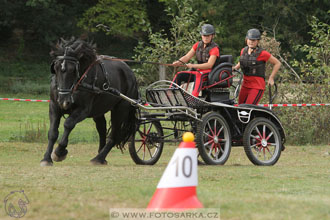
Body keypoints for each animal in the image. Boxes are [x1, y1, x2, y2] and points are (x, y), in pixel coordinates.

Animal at [41, 37, 138, 166]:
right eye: (56, 68)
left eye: (73, 70)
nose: (64, 101)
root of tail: (130, 73)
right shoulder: (54, 106)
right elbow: (52, 133)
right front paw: (46, 158)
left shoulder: (83, 110)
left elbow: (68, 124)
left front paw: (59, 152)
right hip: (98, 110)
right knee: (102, 129)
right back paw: (100, 155)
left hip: (120, 110)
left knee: (114, 135)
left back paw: (99, 158)